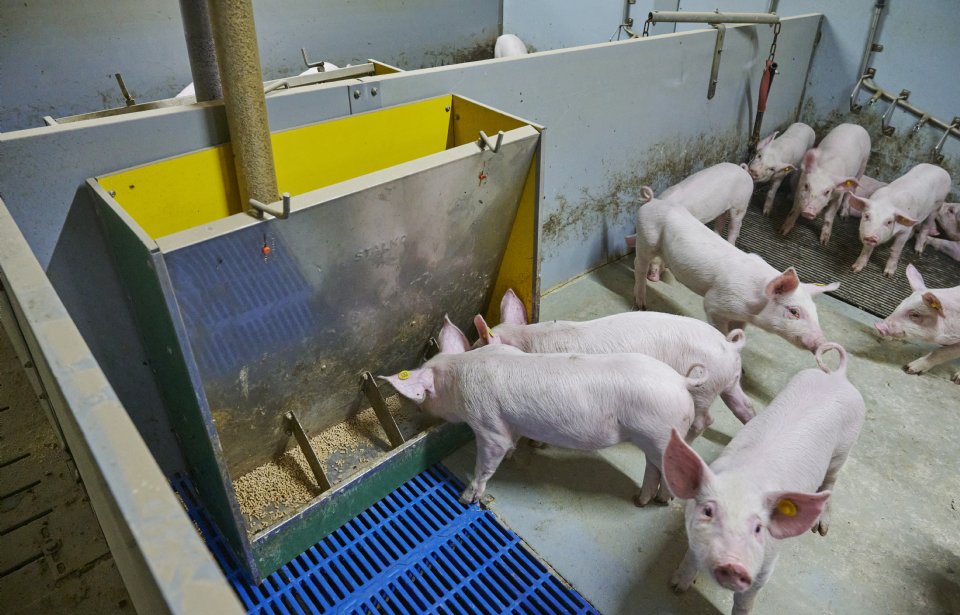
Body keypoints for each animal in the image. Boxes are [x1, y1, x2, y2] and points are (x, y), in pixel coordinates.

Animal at [382, 317, 704, 506]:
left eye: (426, 392)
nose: (419, 407)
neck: (458, 375)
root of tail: (682, 381)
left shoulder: (487, 421)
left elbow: (491, 455)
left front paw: (466, 498)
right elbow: (511, 442)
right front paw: (514, 454)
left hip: (658, 432)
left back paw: (661, 501)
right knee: (652, 468)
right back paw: (639, 499)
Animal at [472, 289, 754, 441]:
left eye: (477, 345)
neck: (526, 343)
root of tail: (730, 346)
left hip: (704, 390)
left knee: (705, 420)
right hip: (728, 382)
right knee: (744, 405)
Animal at [633, 196, 839, 352]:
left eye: (815, 312)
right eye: (794, 311)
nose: (824, 344)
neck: (753, 305)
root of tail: (652, 201)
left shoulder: (740, 317)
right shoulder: (715, 303)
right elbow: (719, 327)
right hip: (646, 239)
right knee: (639, 265)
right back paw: (641, 305)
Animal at [663, 342, 865, 615]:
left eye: (759, 527)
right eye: (708, 511)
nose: (733, 565)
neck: (746, 481)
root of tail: (839, 376)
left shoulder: (767, 564)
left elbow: (746, 599)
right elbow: (691, 556)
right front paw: (675, 587)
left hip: (844, 448)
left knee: (831, 481)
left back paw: (821, 529)